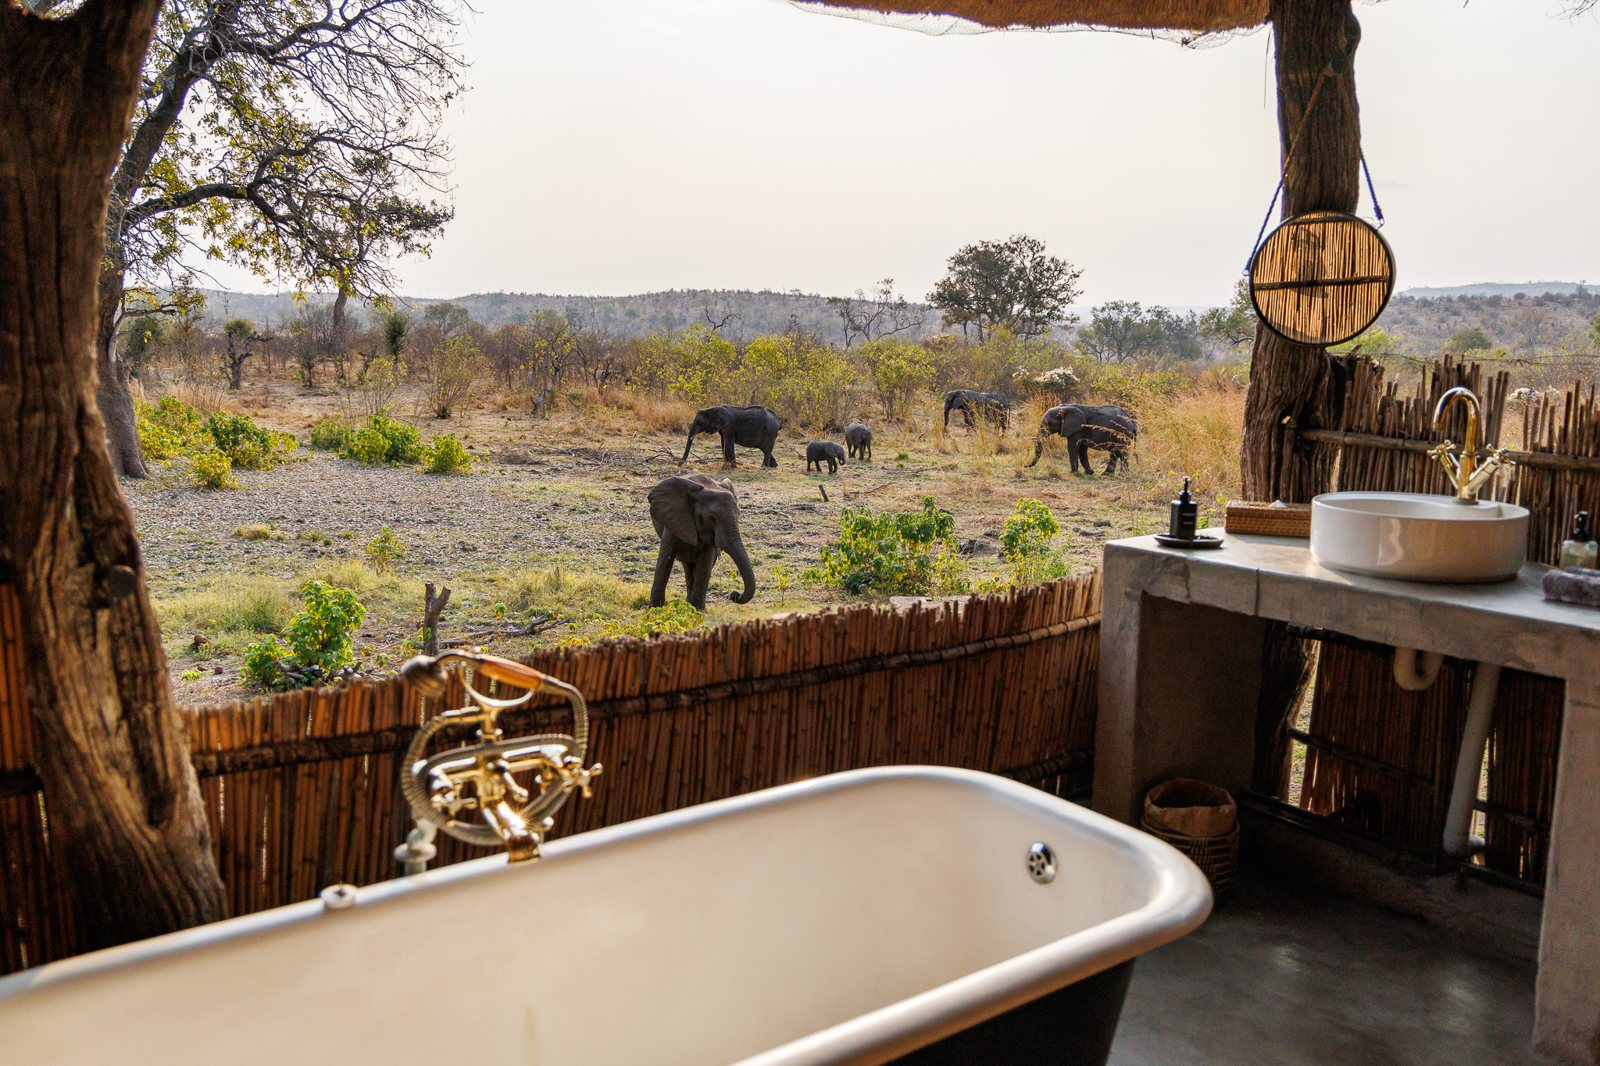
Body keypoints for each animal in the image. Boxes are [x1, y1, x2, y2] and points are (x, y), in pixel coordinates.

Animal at [647, 474, 757, 610]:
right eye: (711, 518)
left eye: (738, 515)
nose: (734, 594)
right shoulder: (673, 518)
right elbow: (665, 559)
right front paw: (655, 609)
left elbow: (705, 563)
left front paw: (698, 610)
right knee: (687, 565)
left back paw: (689, 603)